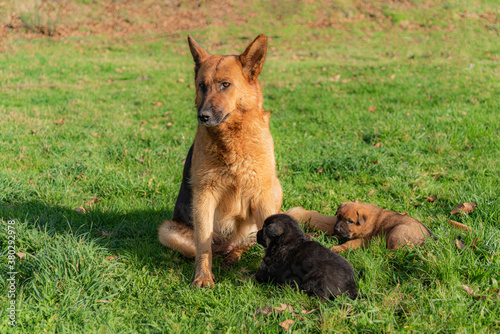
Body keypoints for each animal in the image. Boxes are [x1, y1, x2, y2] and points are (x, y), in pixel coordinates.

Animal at [157, 34, 282, 288]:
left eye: (225, 84)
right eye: (202, 85)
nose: (203, 116)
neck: (232, 139)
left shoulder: (263, 194)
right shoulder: (204, 196)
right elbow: (203, 244)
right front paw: (203, 277)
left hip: (275, 188)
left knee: (245, 244)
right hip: (167, 230)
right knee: (207, 248)